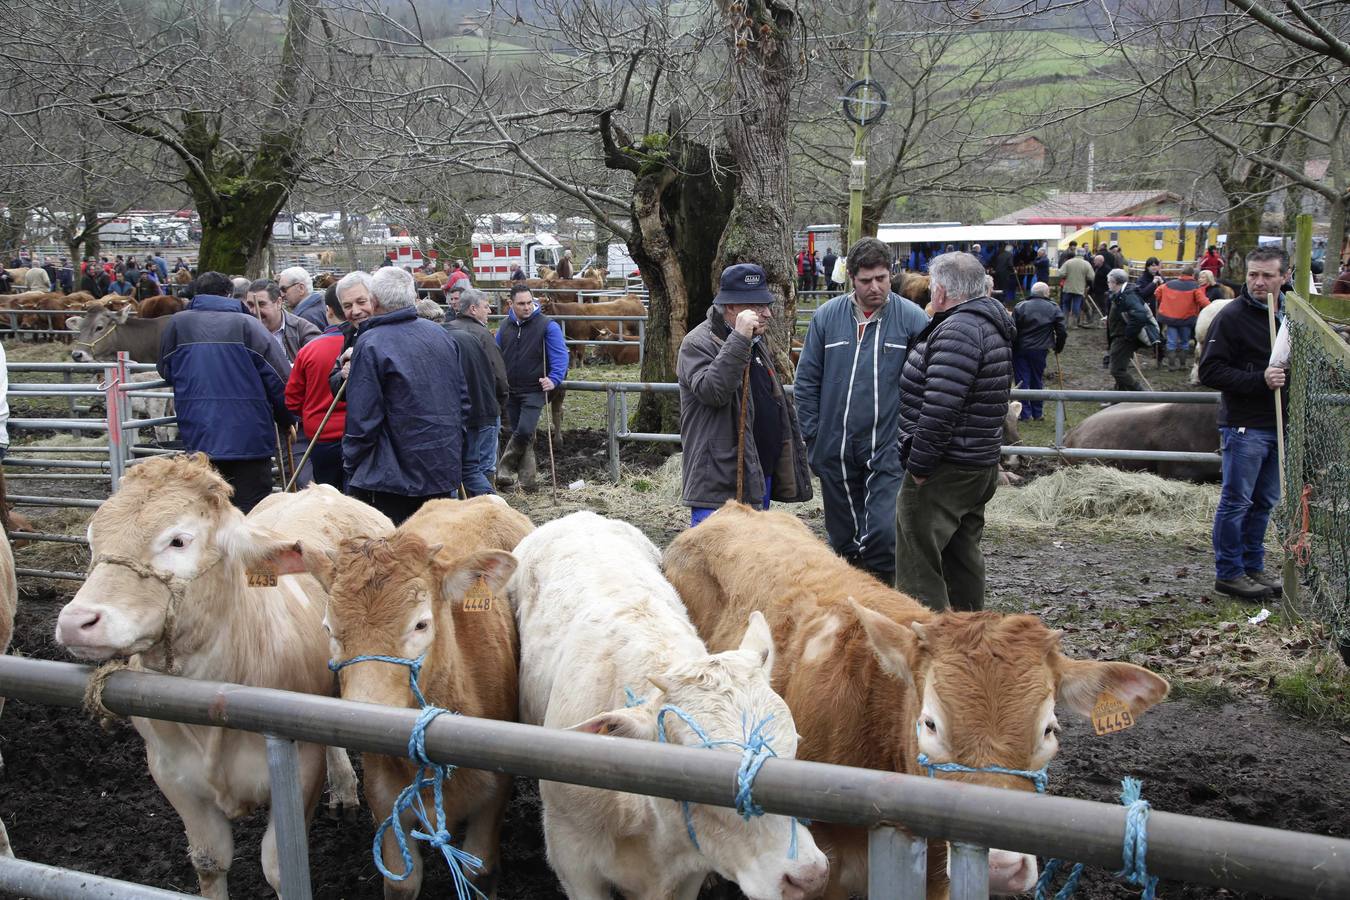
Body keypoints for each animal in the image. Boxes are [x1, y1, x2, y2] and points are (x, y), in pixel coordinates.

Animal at [313, 499, 529, 900]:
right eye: (329, 628)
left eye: (420, 624)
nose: (361, 718)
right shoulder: (383, 794)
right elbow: (402, 881)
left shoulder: (494, 795)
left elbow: (479, 871)